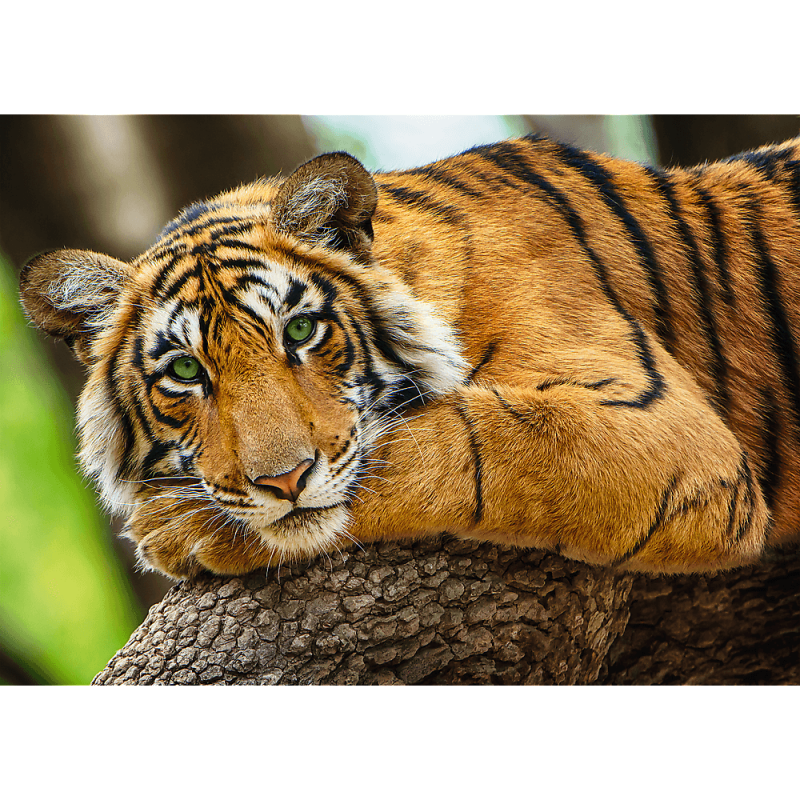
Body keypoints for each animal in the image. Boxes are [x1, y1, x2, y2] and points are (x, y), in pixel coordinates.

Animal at [19, 132, 800, 581]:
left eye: (300, 331)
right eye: (185, 371)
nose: (283, 481)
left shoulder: (664, 430)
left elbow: (455, 443)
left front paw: (176, 528)